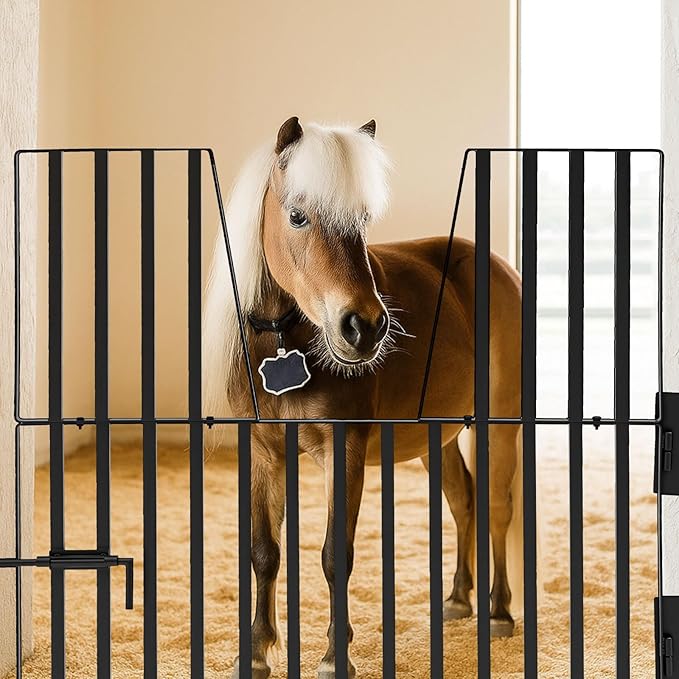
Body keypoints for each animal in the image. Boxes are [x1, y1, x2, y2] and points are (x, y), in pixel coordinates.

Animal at [203, 117, 523, 678]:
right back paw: (458, 599)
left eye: (363, 219)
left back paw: (499, 610)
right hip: (436, 435)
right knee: (463, 501)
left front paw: (336, 655)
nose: (366, 327)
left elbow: (337, 555)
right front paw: (258, 649)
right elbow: (265, 552)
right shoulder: (263, 452)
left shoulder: (344, 448)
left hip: (500, 422)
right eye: (298, 215)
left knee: (496, 506)